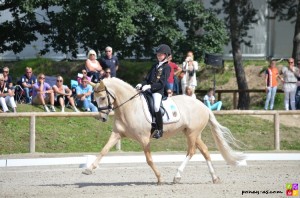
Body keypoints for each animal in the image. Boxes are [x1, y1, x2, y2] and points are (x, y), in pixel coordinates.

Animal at [84, 77, 244, 184]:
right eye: (94, 99)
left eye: (102, 97)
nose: (102, 118)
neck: (129, 107)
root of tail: (204, 106)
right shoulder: (117, 134)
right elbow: (103, 150)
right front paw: (89, 169)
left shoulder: (144, 139)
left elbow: (149, 160)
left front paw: (160, 178)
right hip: (192, 133)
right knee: (205, 151)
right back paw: (215, 178)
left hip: (192, 133)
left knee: (191, 152)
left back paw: (177, 176)